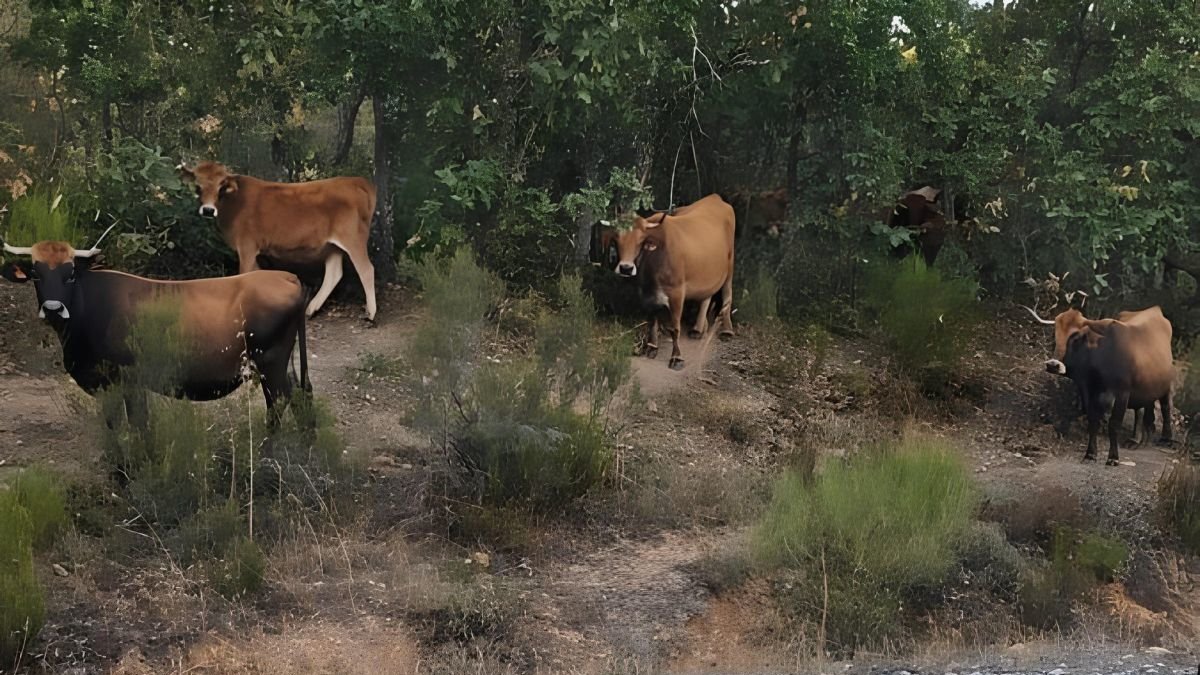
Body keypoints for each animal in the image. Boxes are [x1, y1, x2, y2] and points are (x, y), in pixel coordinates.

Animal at [1, 238, 311, 433]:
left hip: (270, 361)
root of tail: (286, 276)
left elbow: (140, 426)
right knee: (301, 395)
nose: (53, 308)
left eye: (71, 273)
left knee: (279, 401)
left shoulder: (130, 381)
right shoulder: (107, 387)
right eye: (36, 274)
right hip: (284, 363)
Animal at [180, 160, 378, 321]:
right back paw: (310, 309)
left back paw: (371, 313)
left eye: (221, 187)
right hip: (331, 245)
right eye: (197, 186)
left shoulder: (247, 246)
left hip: (353, 238)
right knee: (334, 274)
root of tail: (356, 181)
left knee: (366, 269)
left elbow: (244, 274)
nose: (208, 210)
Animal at [612, 194, 736, 370]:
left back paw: (727, 330)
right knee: (706, 296)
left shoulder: (677, 293)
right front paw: (652, 347)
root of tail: (715, 198)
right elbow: (652, 321)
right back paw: (698, 329)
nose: (626, 268)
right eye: (616, 238)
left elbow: (675, 328)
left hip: (730, 266)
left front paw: (676, 357)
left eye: (640, 241)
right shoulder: (646, 294)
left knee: (727, 294)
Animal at [1024, 305, 1174, 465]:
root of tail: (1155, 309)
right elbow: (1092, 420)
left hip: (1165, 384)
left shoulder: (1122, 392)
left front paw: (1113, 457)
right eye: (1055, 333)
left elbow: (1114, 424)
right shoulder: (1088, 389)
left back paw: (1166, 439)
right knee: (1141, 408)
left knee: (1165, 407)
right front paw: (1090, 454)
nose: (1053, 365)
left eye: (1076, 337)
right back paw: (1137, 439)